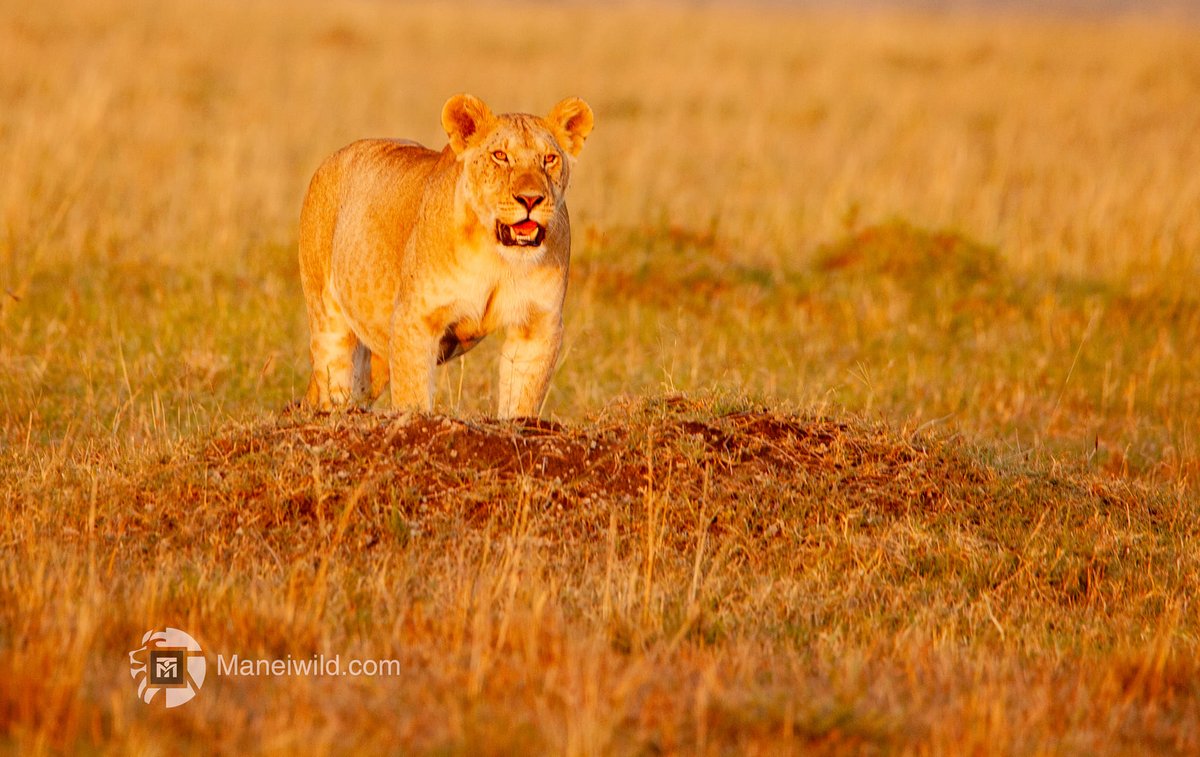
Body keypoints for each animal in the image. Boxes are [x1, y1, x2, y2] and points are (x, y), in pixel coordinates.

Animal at [298, 94, 594, 417]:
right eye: (500, 156)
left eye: (549, 158)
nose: (531, 199)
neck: (498, 257)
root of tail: (331, 159)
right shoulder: (414, 320)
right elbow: (413, 395)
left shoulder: (538, 323)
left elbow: (522, 399)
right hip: (327, 315)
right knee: (333, 377)